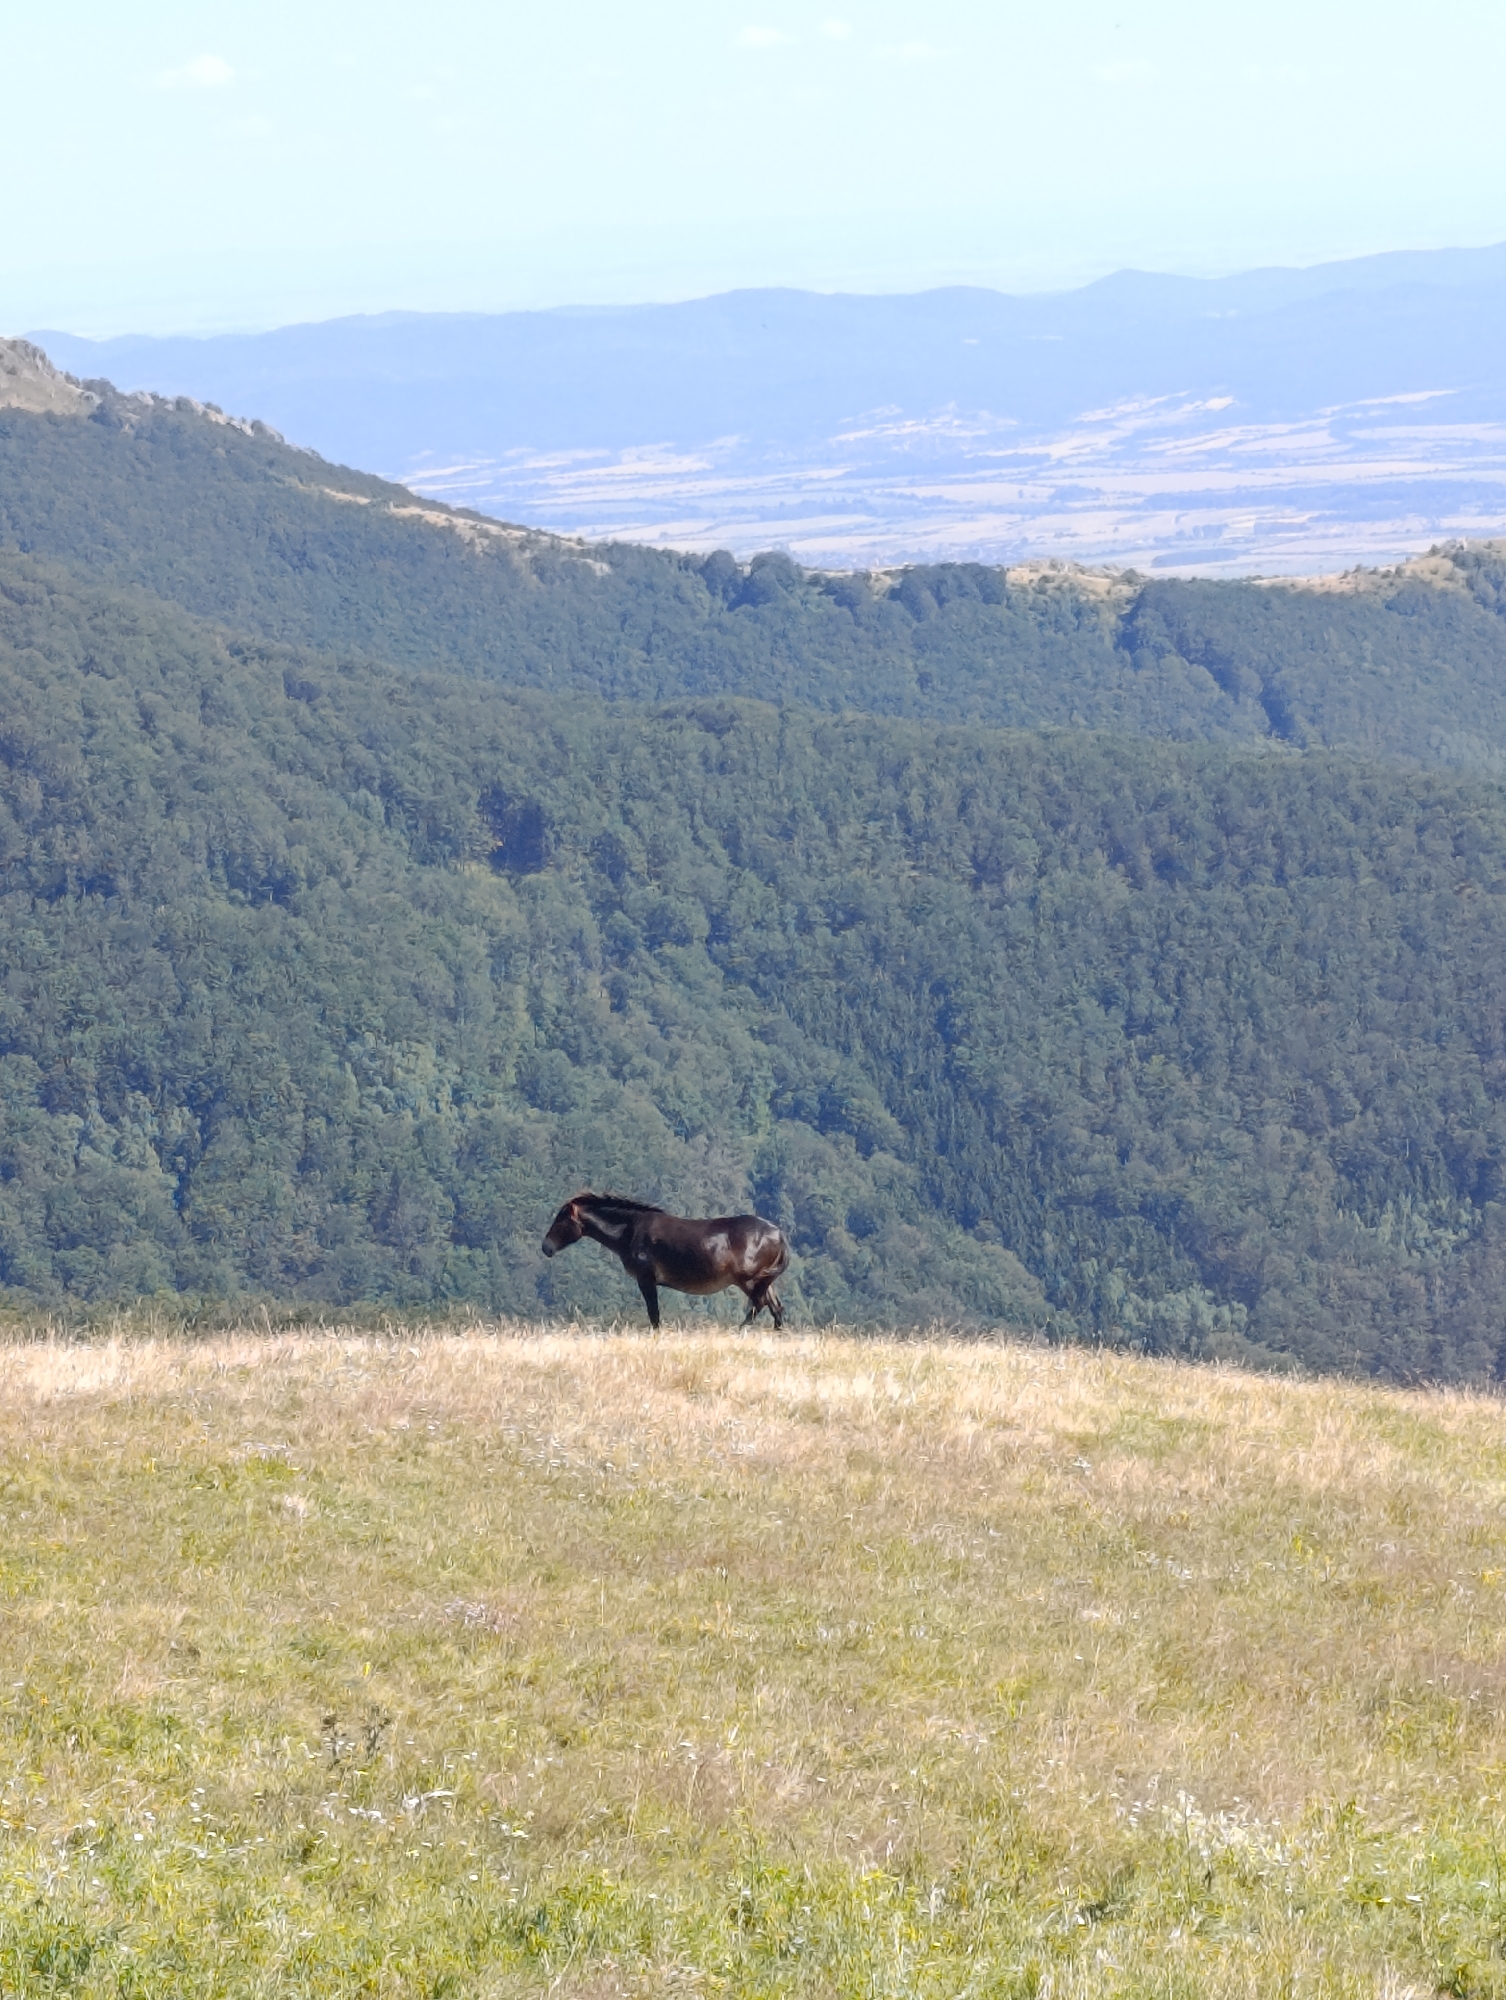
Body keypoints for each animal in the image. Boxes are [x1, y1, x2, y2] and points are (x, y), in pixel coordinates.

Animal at [541, 1193, 790, 1329]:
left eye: (561, 1219)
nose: (546, 1247)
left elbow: (654, 1313)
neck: (630, 1230)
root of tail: (778, 1233)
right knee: (775, 1307)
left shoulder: (645, 1278)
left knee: (759, 1304)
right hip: (764, 1279)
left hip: (748, 1279)